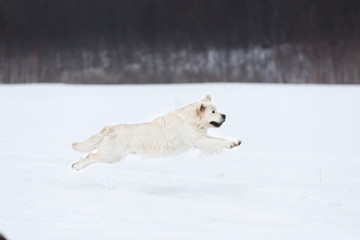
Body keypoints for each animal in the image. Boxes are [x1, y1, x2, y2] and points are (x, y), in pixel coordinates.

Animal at [71, 94, 242, 171]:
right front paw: (233, 142)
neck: (191, 120)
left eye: (217, 110)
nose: (225, 115)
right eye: (213, 112)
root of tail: (110, 128)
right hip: (111, 155)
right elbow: (219, 141)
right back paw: (76, 165)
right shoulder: (198, 139)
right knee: (90, 156)